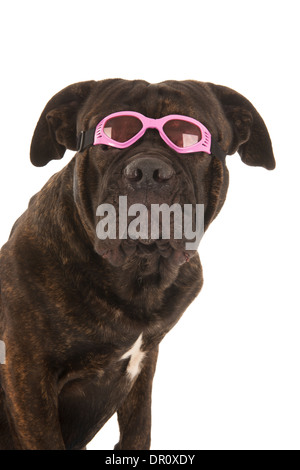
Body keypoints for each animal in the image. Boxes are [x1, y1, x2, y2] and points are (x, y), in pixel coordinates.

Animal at [0, 79, 276, 450]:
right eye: (112, 135)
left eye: (187, 137)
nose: (148, 171)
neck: (139, 271)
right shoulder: (28, 374)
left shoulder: (146, 361)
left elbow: (138, 426)